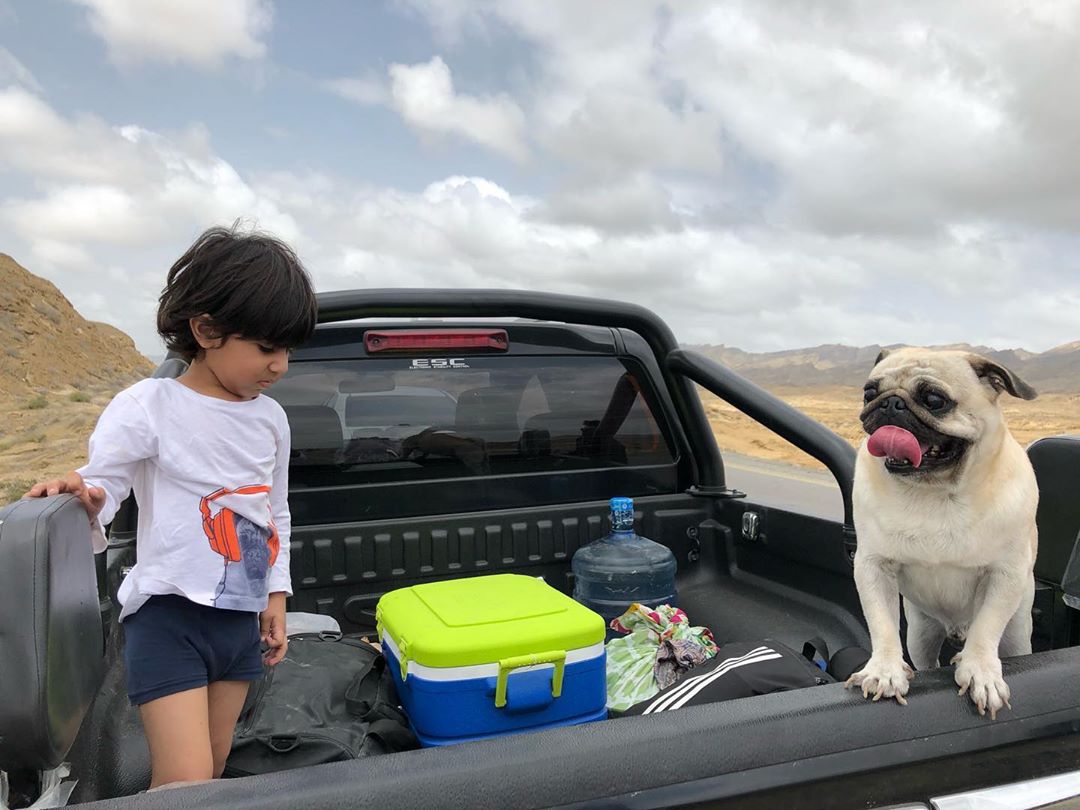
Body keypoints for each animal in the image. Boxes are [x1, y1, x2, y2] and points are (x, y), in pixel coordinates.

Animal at [842, 352, 1036, 721]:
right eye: (869, 392)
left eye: (934, 400)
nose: (890, 403)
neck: (934, 493)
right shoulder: (872, 567)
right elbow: (882, 623)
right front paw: (884, 670)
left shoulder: (1004, 576)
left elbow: (987, 626)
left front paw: (981, 672)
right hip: (921, 633)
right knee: (927, 661)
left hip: (1017, 634)